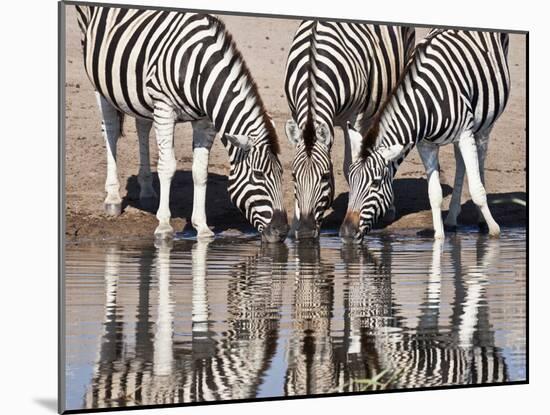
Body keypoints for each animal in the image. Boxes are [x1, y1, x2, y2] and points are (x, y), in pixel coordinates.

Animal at [76, 4, 288, 242]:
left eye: (282, 174)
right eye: (259, 175)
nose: (282, 232)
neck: (198, 70)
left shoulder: (204, 120)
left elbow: (200, 172)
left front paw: (202, 228)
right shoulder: (164, 107)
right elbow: (167, 165)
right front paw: (164, 226)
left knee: (142, 125)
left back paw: (147, 190)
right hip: (99, 75)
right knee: (111, 129)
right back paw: (112, 198)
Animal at [284, 20, 418, 240]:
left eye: (324, 177)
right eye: (294, 176)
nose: (304, 233)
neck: (314, 67)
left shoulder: (355, 118)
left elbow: (350, 167)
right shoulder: (296, 113)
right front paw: (294, 224)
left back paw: (390, 207)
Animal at [340, 29, 512, 244]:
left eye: (376, 183)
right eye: (350, 179)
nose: (346, 233)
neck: (426, 103)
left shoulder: (465, 134)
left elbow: (476, 190)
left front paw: (494, 231)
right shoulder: (426, 144)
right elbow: (434, 194)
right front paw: (439, 238)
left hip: (484, 123)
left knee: (480, 158)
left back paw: (481, 219)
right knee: (460, 161)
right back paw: (452, 219)